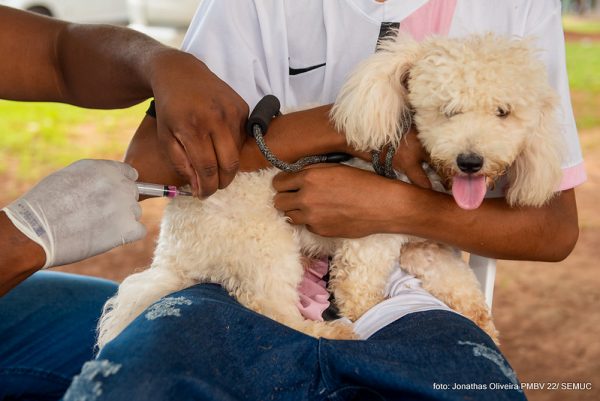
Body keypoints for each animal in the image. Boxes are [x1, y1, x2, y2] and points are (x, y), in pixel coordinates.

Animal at [97, 33, 564, 346]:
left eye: (504, 112)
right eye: (446, 110)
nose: (471, 161)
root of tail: (173, 251)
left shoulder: (424, 244)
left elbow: (460, 282)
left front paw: (483, 324)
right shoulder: (370, 239)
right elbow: (361, 296)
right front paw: (362, 317)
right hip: (265, 245)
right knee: (270, 308)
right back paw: (331, 333)